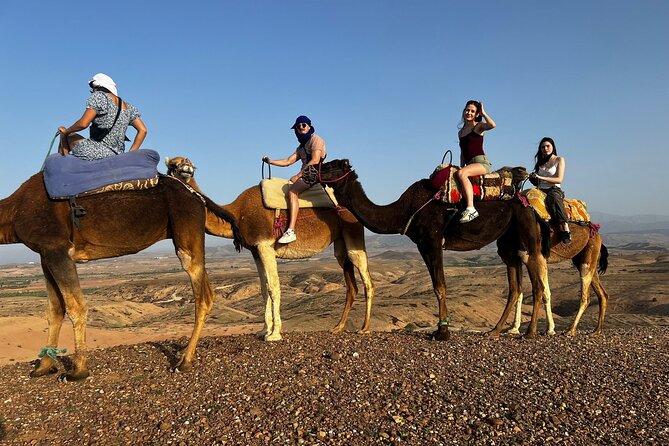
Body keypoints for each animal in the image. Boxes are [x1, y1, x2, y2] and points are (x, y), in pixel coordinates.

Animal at [0, 171, 240, 381]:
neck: (14, 211)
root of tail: (197, 196)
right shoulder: (44, 254)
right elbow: (54, 311)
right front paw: (43, 367)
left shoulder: (57, 249)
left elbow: (75, 307)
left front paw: (78, 371)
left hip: (187, 230)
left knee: (202, 292)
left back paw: (184, 362)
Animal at [165, 157, 374, 341]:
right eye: (173, 164)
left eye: (189, 163)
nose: (186, 168)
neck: (238, 212)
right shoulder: (255, 250)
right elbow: (264, 288)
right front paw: (263, 331)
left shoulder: (265, 246)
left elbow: (274, 287)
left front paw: (274, 334)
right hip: (340, 242)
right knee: (351, 283)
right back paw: (338, 327)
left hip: (353, 232)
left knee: (366, 279)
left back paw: (364, 328)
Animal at [317, 158, 548, 340]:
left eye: (332, 166)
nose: (314, 168)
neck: (403, 211)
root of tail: (526, 200)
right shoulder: (422, 245)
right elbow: (437, 286)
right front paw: (439, 330)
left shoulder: (433, 240)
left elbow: (440, 286)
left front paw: (443, 333)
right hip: (508, 242)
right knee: (515, 286)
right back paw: (494, 331)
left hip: (526, 230)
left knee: (536, 281)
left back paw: (530, 332)